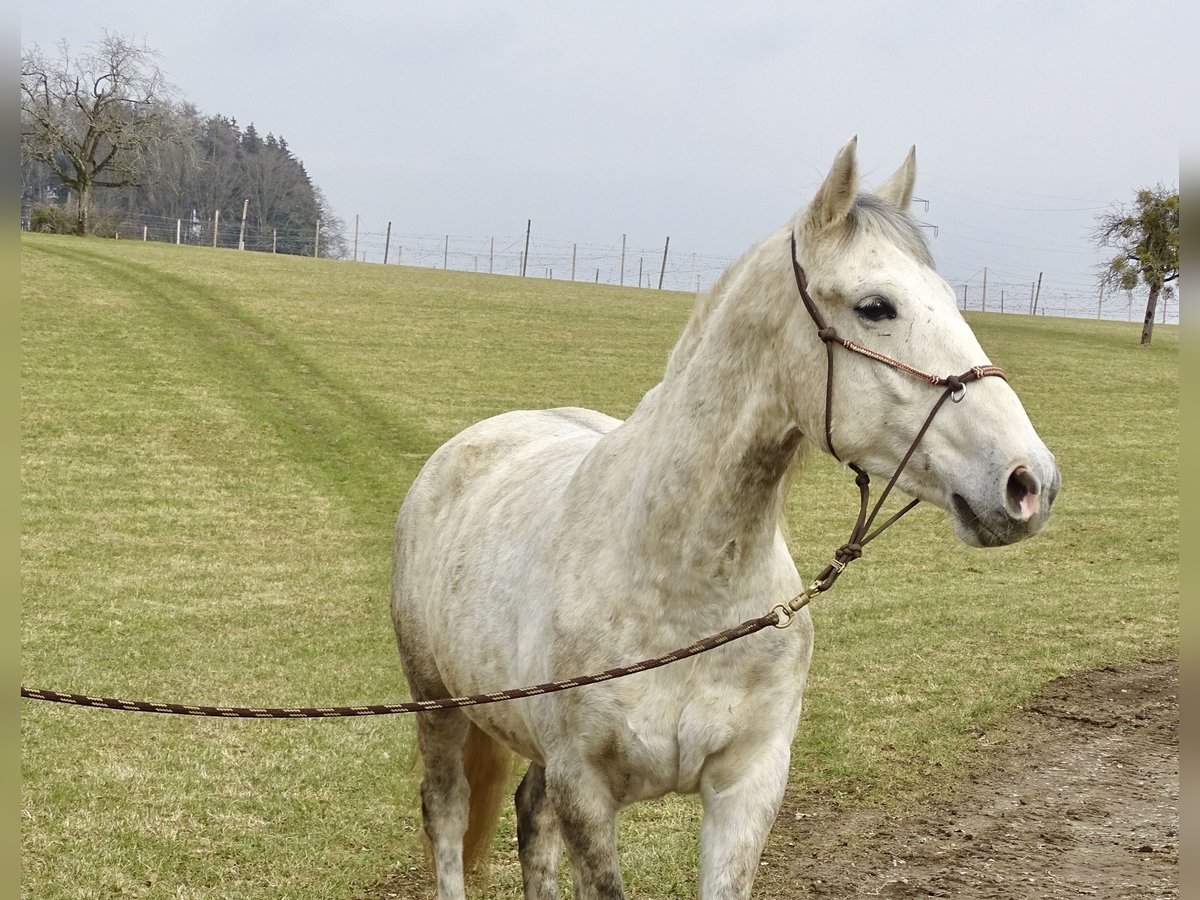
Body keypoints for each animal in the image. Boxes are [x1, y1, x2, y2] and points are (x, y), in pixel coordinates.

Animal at [393, 137, 1060, 897]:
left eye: (951, 299)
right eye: (876, 306)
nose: (1028, 482)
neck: (678, 582)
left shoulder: (748, 785)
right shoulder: (587, 791)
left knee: (531, 817)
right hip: (437, 708)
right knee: (447, 815)